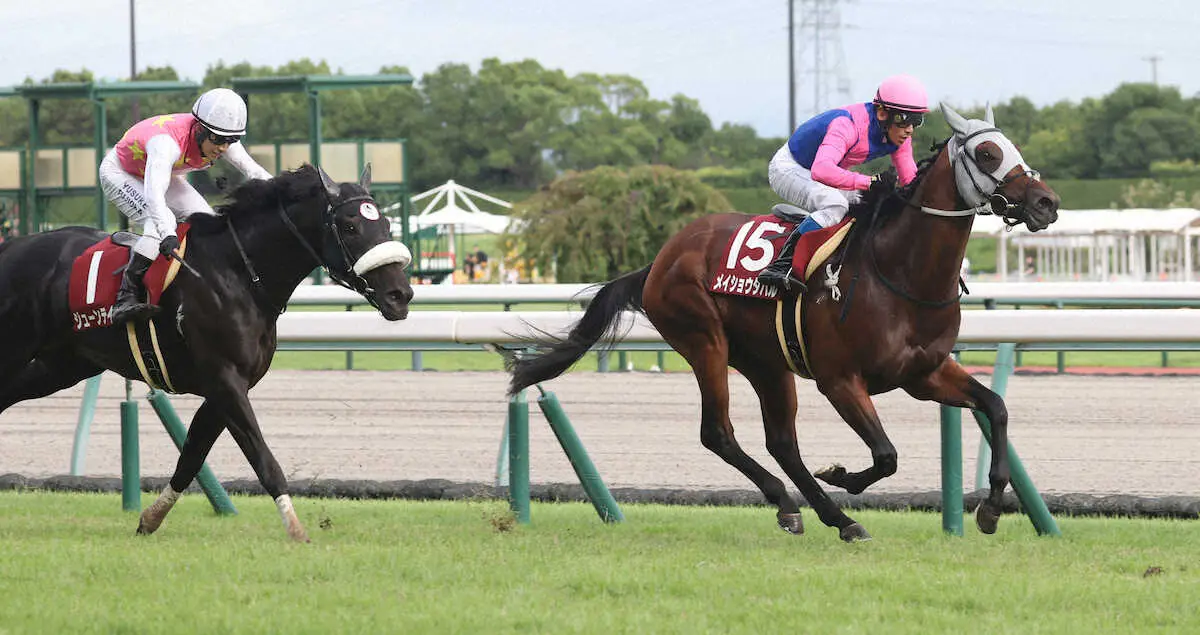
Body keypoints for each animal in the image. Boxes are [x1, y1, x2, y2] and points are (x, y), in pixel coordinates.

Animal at [0, 163, 412, 540]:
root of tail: (11, 245)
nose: (401, 295)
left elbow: (192, 457)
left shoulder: (225, 388)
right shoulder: (224, 379)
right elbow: (263, 459)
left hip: (61, 366)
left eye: (387, 225)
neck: (240, 274)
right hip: (17, 347)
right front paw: (296, 531)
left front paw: (149, 520)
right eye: (350, 227)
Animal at [506, 105, 1060, 540]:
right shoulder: (840, 379)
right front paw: (842, 474)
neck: (900, 271)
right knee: (719, 433)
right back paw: (797, 504)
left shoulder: (923, 374)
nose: (1046, 203)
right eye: (987, 154)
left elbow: (995, 408)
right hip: (704, 342)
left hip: (766, 362)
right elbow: (886, 454)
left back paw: (831, 517)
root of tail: (660, 259)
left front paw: (991, 508)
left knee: (782, 443)